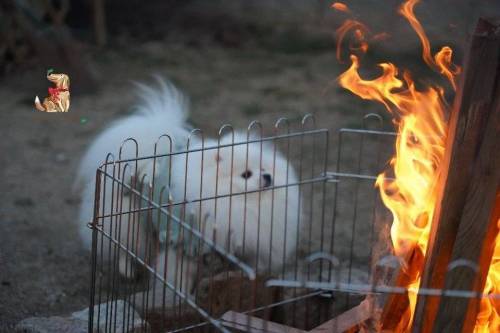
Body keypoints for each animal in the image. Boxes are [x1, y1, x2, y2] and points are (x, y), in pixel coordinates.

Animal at [76, 80, 298, 294]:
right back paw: (127, 271)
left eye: (264, 168)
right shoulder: (185, 244)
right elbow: (177, 273)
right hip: (129, 217)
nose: (268, 177)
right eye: (246, 174)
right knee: (126, 245)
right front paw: (179, 294)